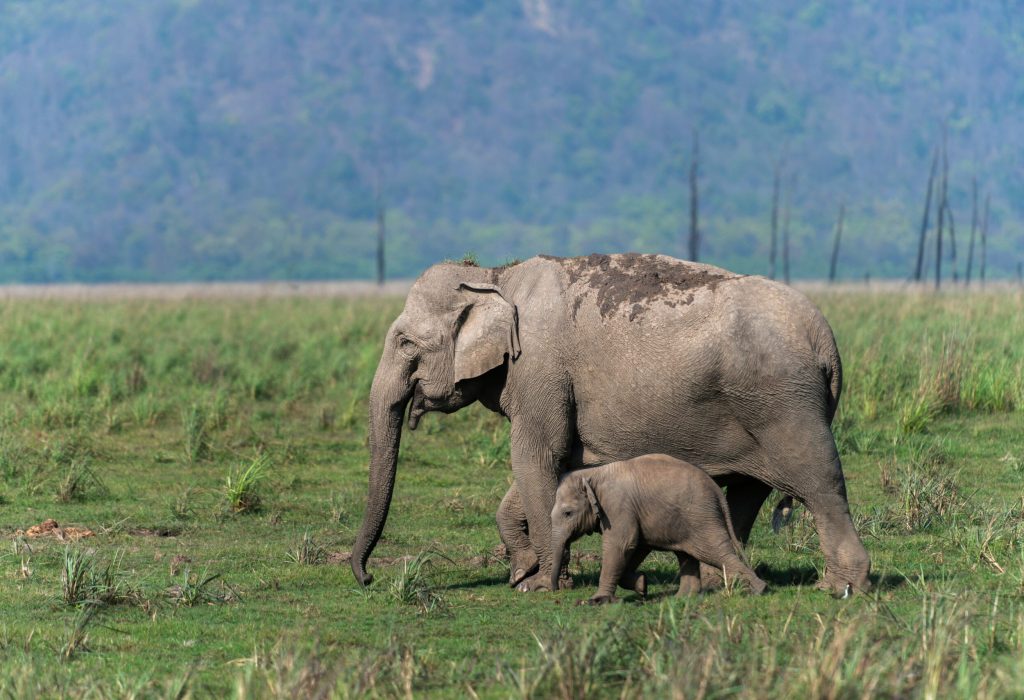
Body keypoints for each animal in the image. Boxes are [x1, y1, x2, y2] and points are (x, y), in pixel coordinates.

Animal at [550, 455, 767, 604]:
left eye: (568, 513)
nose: (556, 590)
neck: (592, 474)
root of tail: (715, 489)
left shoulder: (617, 506)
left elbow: (623, 544)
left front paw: (597, 601)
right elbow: (637, 546)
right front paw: (642, 585)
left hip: (701, 517)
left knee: (714, 551)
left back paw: (759, 590)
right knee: (687, 554)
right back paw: (682, 598)